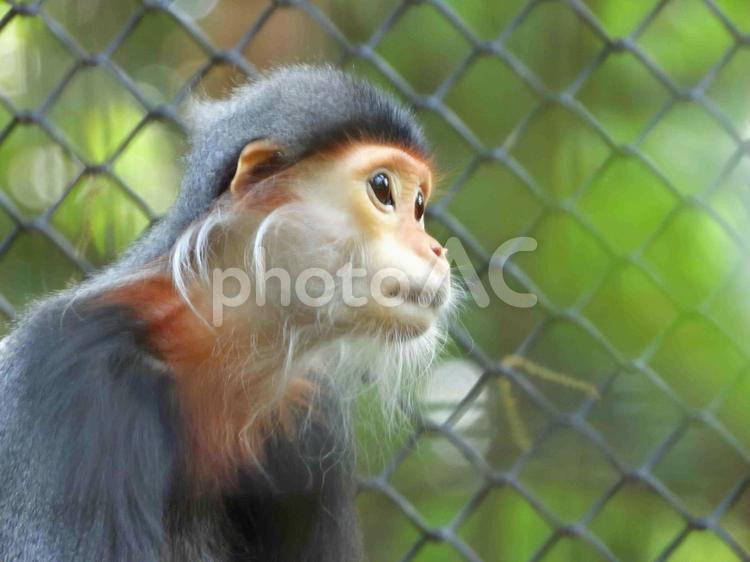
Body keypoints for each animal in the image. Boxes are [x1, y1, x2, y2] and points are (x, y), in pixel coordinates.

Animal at [0, 65, 454, 562]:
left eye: (419, 206)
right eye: (382, 188)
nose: (436, 249)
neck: (211, 338)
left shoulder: (311, 416)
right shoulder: (70, 365)